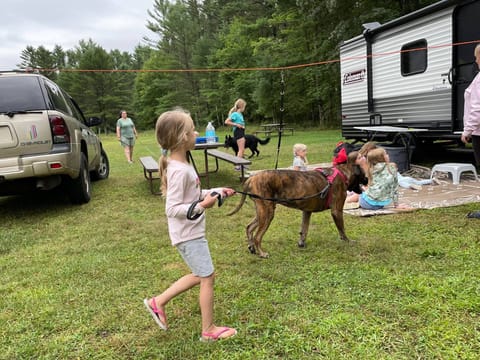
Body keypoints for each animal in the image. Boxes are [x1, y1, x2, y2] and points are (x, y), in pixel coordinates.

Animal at [228, 153, 364, 258]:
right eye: (363, 175)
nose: (367, 181)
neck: (343, 173)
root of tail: (251, 179)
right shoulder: (337, 210)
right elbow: (342, 229)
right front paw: (347, 241)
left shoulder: (307, 211)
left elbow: (304, 229)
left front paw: (301, 243)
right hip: (268, 213)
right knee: (257, 236)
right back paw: (261, 253)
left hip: (263, 210)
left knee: (249, 227)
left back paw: (251, 247)